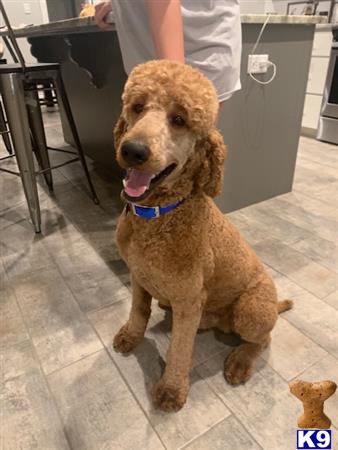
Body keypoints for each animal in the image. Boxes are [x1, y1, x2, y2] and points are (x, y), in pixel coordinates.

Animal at [112, 59, 292, 412]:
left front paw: (171, 390)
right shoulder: (139, 276)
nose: (133, 150)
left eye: (179, 120)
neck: (159, 216)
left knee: (263, 338)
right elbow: (139, 310)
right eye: (137, 107)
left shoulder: (188, 301)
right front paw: (131, 336)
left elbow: (180, 350)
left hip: (251, 310)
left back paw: (240, 361)